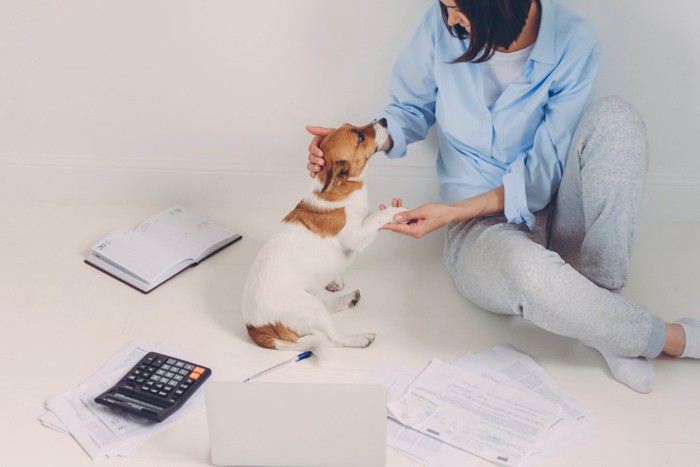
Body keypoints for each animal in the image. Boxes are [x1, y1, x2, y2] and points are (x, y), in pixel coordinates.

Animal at [242, 119, 408, 352]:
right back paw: (360, 338)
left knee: (327, 306)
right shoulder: (357, 236)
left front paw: (334, 280)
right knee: (333, 338)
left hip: (314, 305)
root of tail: (255, 328)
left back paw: (347, 299)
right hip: (310, 309)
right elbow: (376, 217)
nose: (383, 120)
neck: (340, 187)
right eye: (360, 137)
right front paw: (395, 211)